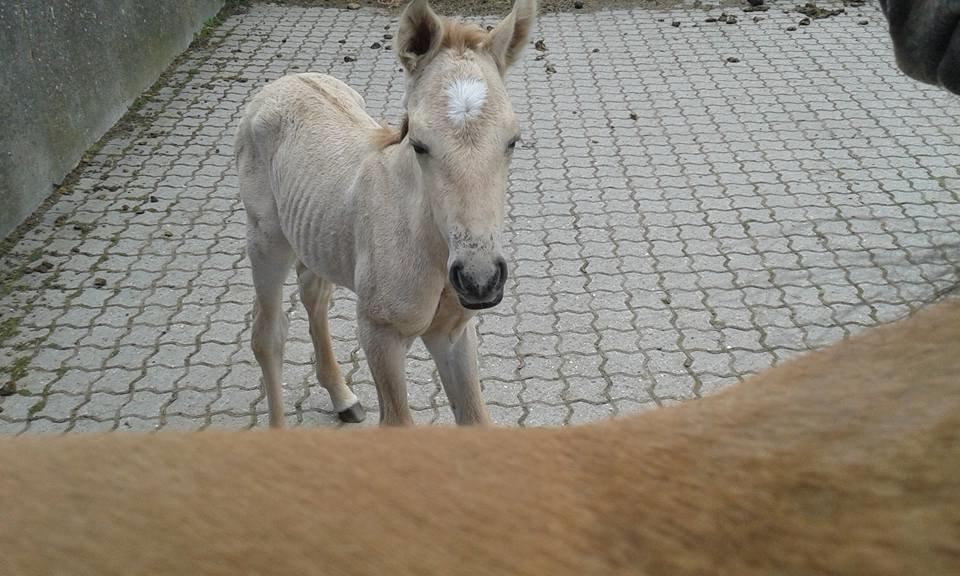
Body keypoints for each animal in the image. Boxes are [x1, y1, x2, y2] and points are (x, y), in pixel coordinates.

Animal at [236, 0, 536, 426]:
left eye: (512, 140)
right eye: (419, 144)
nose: (479, 281)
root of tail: (282, 83)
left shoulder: (453, 333)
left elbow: (476, 419)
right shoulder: (380, 335)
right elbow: (397, 422)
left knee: (314, 296)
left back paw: (342, 396)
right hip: (265, 240)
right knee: (268, 334)